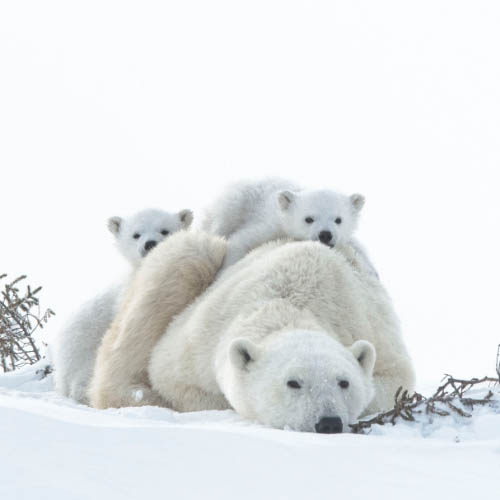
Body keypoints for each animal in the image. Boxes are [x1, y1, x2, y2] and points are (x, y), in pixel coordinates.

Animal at [89, 232, 414, 432]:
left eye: (344, 382)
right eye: (293, 383)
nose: (328, 423)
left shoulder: (361, 317)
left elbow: (393, 379)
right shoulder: (202, 336)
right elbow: (168, 372)